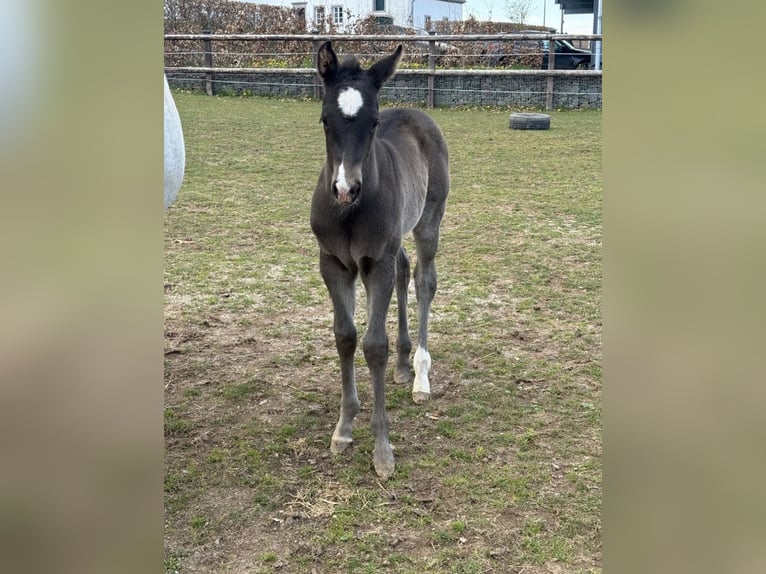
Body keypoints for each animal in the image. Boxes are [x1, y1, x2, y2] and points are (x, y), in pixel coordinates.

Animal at [310, 42, 450, 479]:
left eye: (372, 122)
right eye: (324, 119)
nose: (345, 188)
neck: (348, 214)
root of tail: (416, 114)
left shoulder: (376, 263)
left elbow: (373, 345)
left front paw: (382, 449)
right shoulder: (333, 264)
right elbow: (345, 336)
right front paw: (343, 429)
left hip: (428, 221)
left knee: (423, 281)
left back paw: (420, 375)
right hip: (397, 238)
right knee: (406, 271)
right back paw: (404, 365)